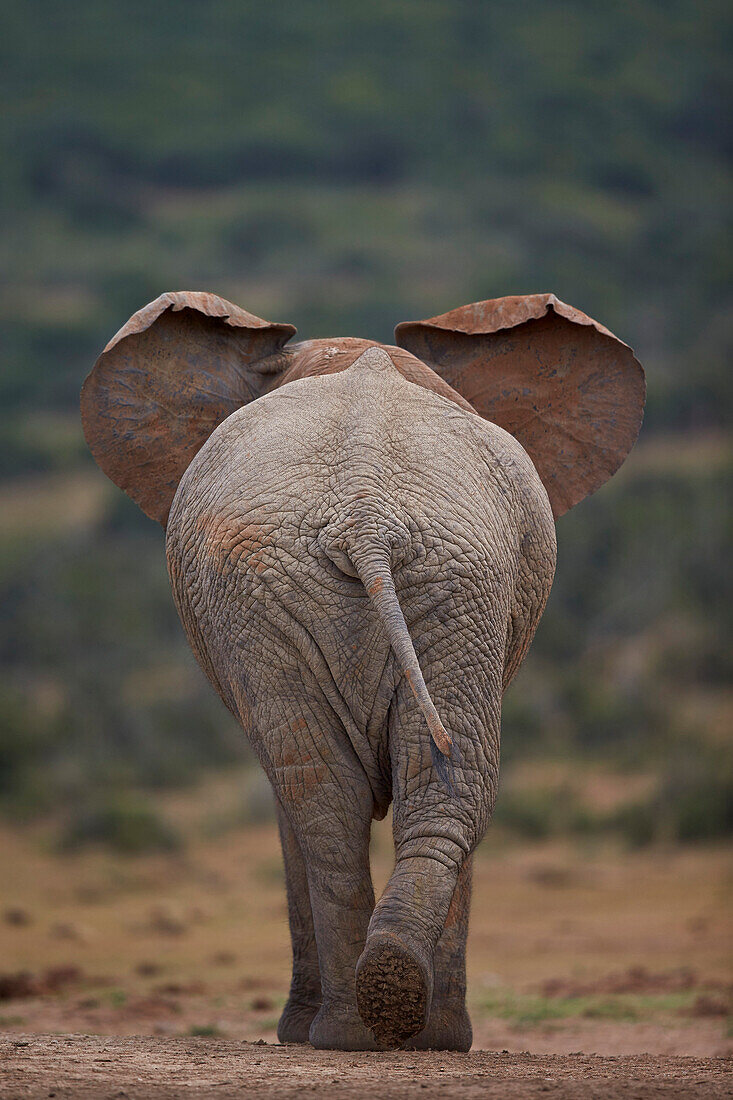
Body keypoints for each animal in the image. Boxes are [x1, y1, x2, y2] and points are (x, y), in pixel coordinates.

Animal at [78, 290, 638, 1047]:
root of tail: (366, 515)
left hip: (423, 580)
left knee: (341, 795)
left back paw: (365, 1025)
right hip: (367, 584)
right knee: (414, 786)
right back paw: (388, 1017)